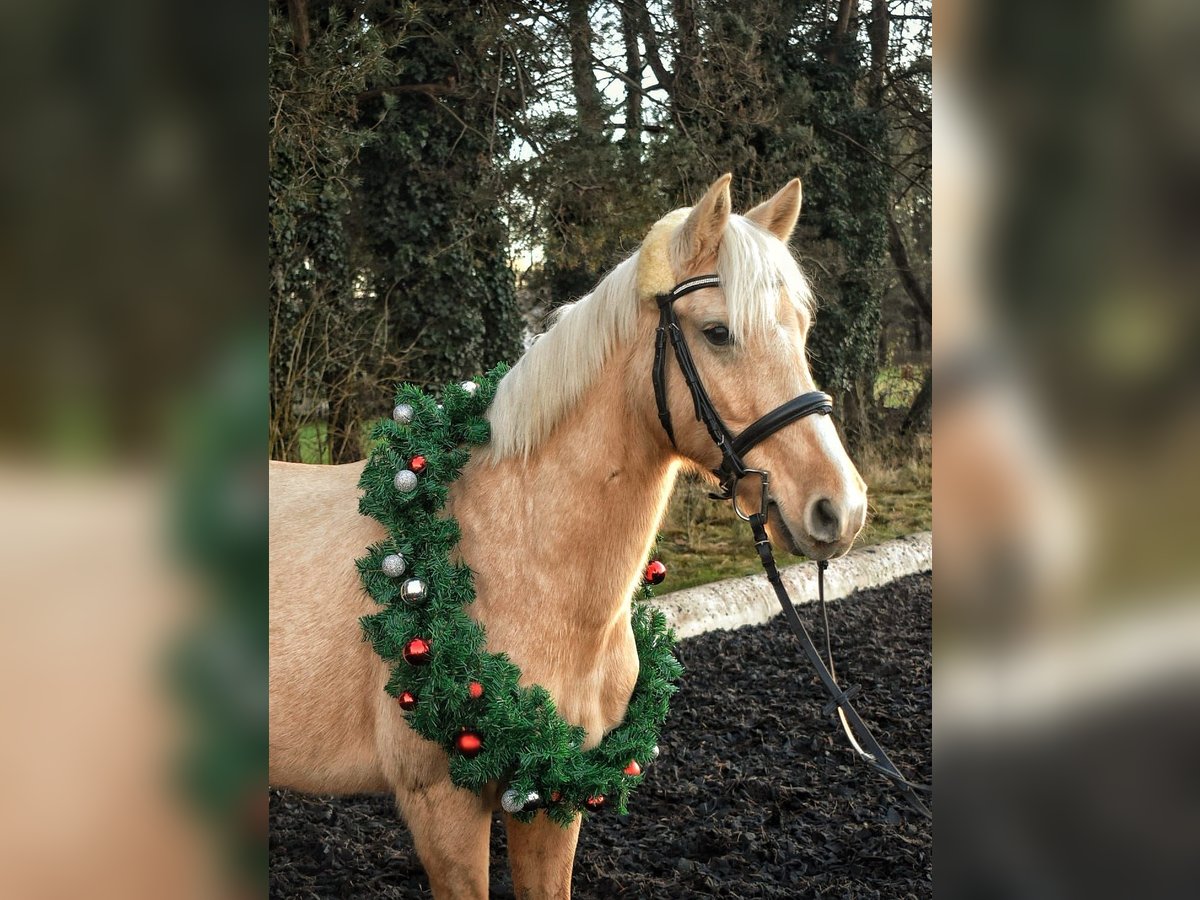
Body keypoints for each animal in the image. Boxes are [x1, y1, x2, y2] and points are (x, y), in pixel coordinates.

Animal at [270, 172, 873, 897]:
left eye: (803, 329)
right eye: (717, 332)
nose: (840, 509)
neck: (510, 563)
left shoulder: (552, 793)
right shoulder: (442, 806)